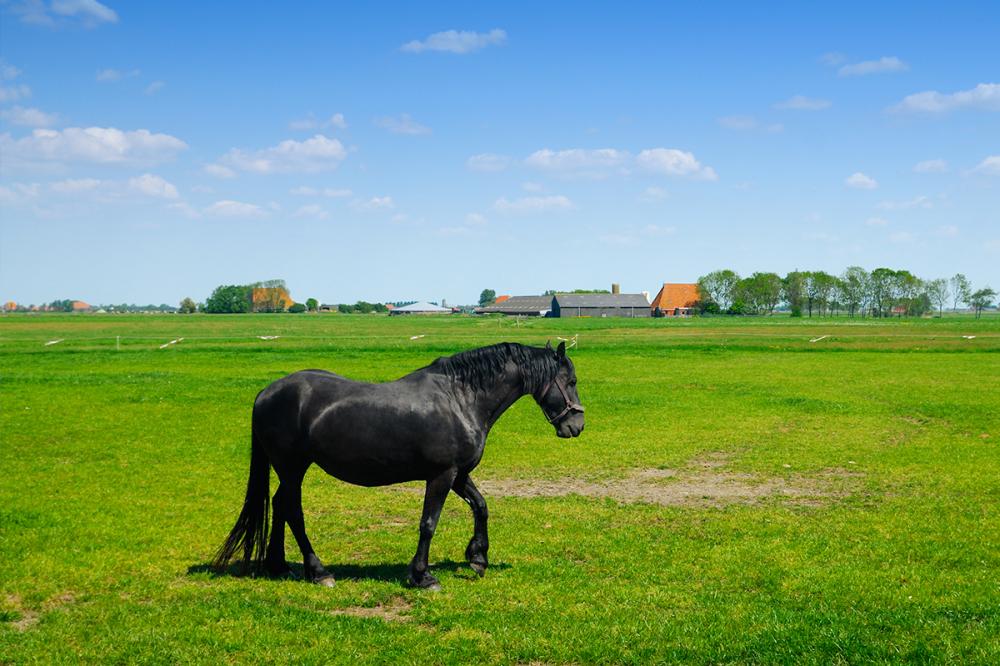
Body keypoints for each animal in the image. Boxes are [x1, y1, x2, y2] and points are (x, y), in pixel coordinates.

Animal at [214, 342, 584, 588]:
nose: (577, 426)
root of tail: (266, 393)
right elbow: (428, 524)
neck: (460, 399)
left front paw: (477, 558)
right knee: (292, 510)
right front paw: (422, 576)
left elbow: (481, 506)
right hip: (292, 468)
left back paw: (279, 566)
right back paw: (318, 571)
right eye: (572, 381)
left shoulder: (459, 474)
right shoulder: (441, 475)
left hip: (290, 470)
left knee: (279, 506)